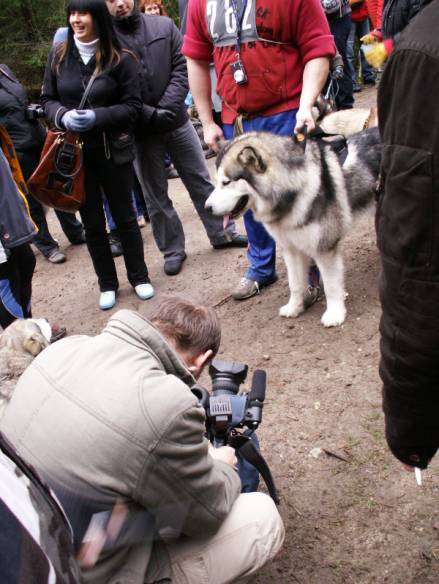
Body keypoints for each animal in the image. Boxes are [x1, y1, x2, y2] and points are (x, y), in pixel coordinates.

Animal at [206, 128, 382, 326]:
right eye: (217, 182)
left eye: (226, 182)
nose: (206, 208)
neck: (293, 190)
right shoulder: (291, 249)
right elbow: (295, 284)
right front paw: (295, 307)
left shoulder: (324, 247)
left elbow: (331, 285)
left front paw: (335, 313)